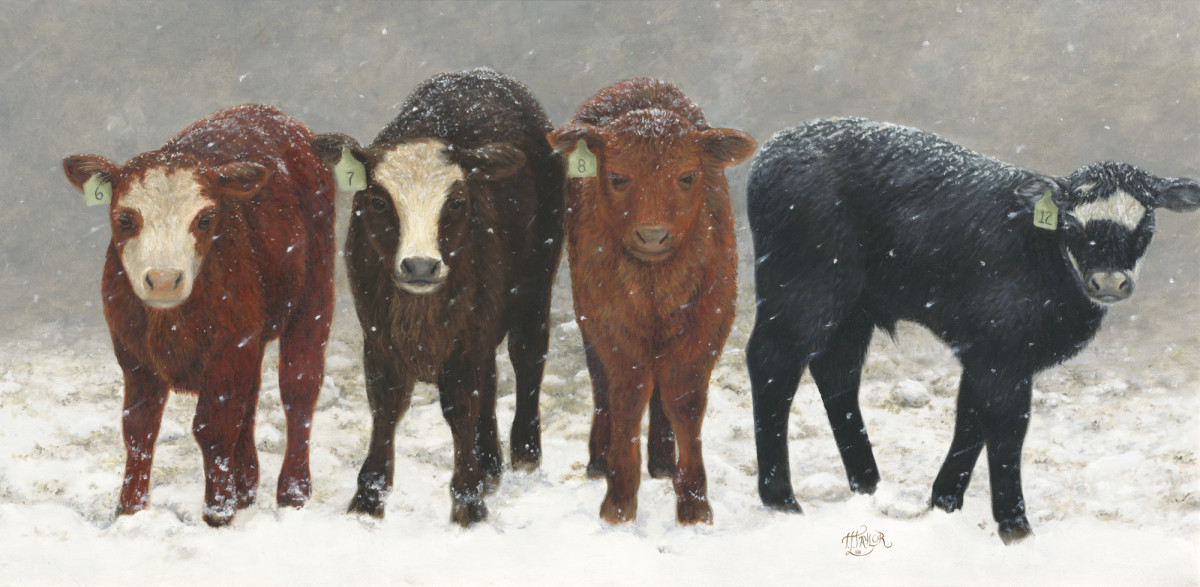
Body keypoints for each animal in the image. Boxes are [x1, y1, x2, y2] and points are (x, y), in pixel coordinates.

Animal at [65, 105, 338, 525]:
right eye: (125, 218)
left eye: (206, 219)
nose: (163, 280)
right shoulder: (133, 353)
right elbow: (139, 427)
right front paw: (131, 509)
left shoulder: (229, 345)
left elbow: (214, 425)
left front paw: (218, 511)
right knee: (251, 399)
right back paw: (246, 487)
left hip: (313, 299)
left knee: (299, 389)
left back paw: (292, 490)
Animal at [549, 76, 753, 520]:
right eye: (617, 177)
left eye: (688, 176)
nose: (653, 235)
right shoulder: (612, 328)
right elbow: (627, 396)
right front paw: (619, 501)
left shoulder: (706, 325)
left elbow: (684, 402)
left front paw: (693, 504)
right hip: (587, 319)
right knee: (601, 385)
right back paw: (599, 460)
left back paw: (661, 461)